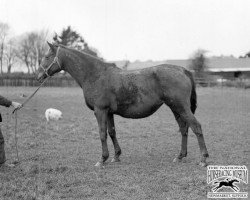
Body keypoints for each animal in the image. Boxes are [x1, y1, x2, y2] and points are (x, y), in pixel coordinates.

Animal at [36, 42, 209, 167]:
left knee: (196, 127)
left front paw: (102, 159)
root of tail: (183, 70)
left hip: (181, 107)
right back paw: (180, 156)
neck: (95, 75)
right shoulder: (109, 112)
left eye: (47, 56)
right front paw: (116, 156)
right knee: (184, 129)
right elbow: (112, 132)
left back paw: (203, 159)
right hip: (175, 108)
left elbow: (102, 133)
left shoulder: (100, 111)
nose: (38, 76)